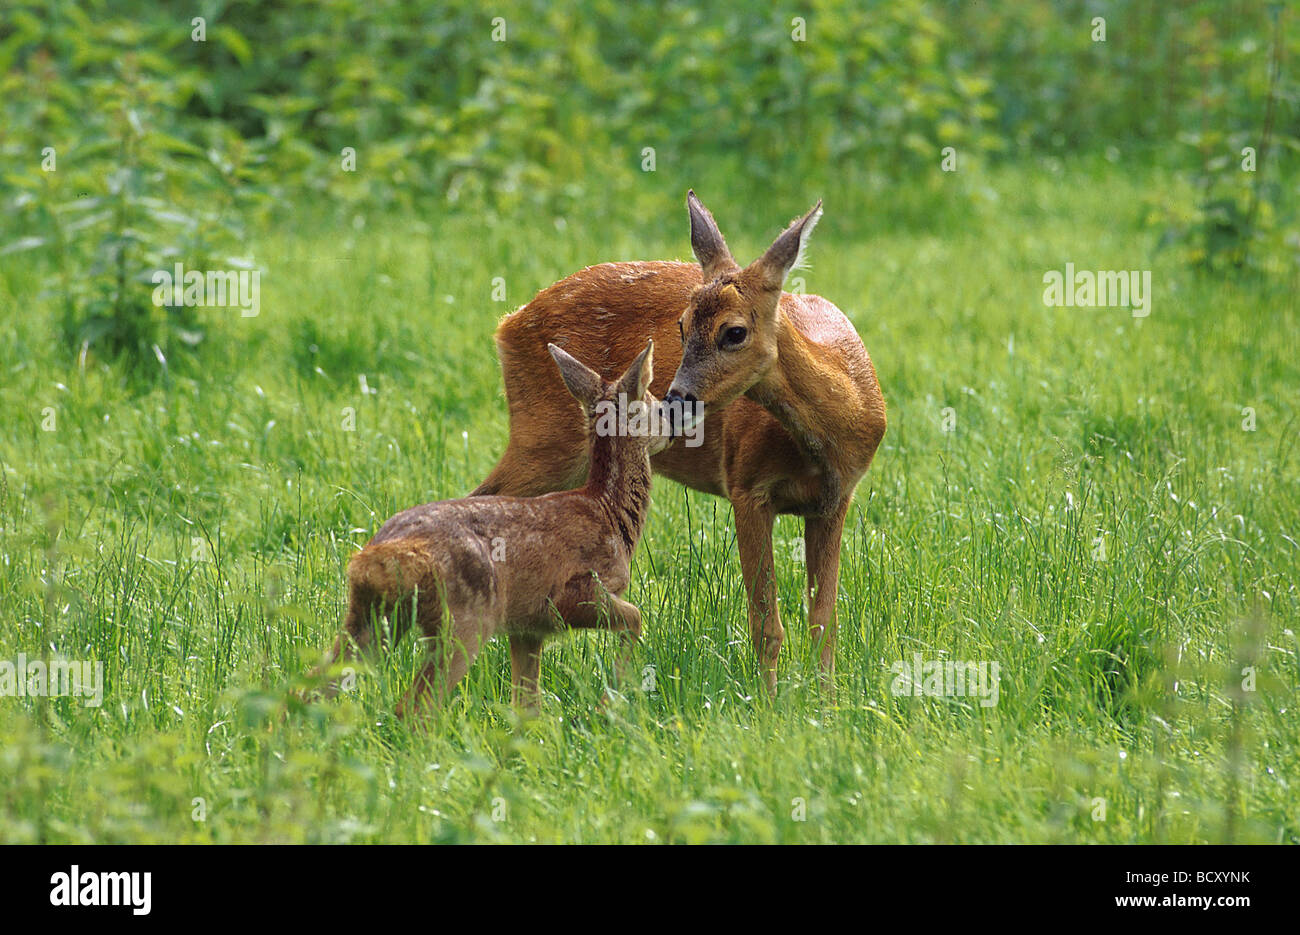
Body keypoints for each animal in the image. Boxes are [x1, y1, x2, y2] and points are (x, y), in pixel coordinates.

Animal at [313, 340, 667, 716]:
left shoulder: (527, 627)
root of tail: (378, 558)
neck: (608, 511)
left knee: (314, 687)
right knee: (414, 706)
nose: (676, 423)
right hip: (464, 619)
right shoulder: (571, 594)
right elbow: (635, 617)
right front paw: (611, 699)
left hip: (371, 617)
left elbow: (526, 705)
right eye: (655, 406)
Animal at [474, 192, 887, 694]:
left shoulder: (834, 499)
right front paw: (769, 704)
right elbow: (765, 624)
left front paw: (826, 702)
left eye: (734, 332)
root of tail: (508, 323)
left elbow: (824, 621)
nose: (673, 401)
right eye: (681, 326)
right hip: (543, 436)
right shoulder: (747, 485)